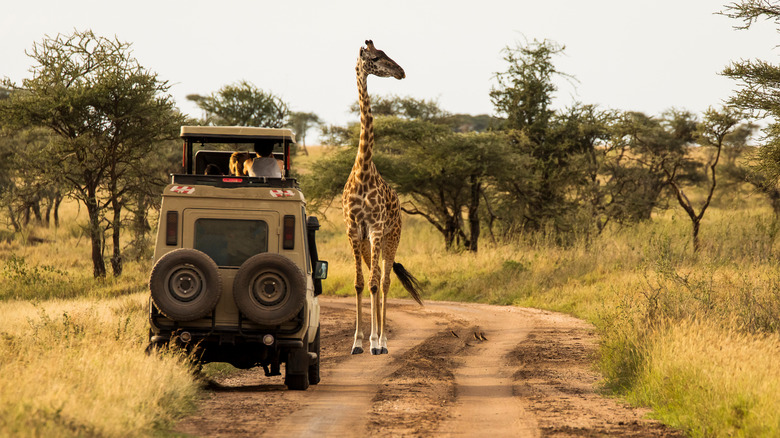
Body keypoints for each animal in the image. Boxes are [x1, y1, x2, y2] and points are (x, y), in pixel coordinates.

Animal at [342, 40, 424, 356]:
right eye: (376, 58)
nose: (401, 71)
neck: (363, 170)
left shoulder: (377, 229)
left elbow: (377, 283)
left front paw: (375, 342)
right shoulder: (355, 230)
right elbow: (359, 283)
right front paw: (357, 343)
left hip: (392, 237)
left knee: (386, 281)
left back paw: (383, 341)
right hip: (369, 243)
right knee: (375, 277)